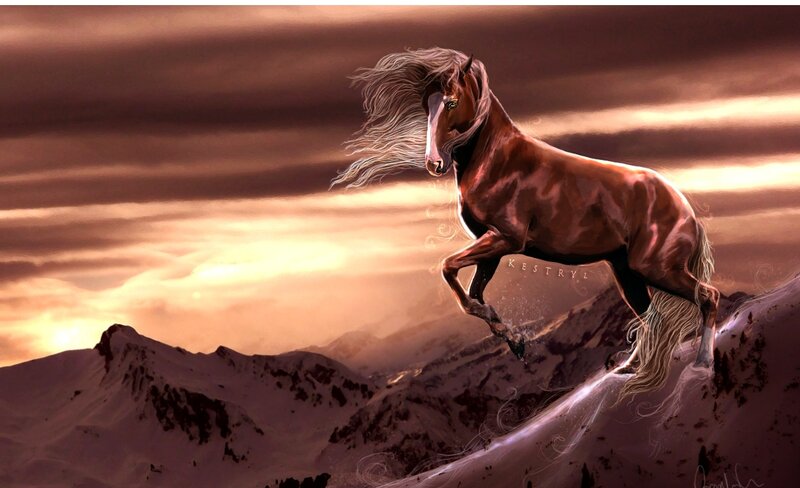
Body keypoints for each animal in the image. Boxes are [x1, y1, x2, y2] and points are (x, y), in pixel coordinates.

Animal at [332, 47, 719, 398]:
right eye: (427, 106)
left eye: (452, 103)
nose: (434, 163)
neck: (499, 161)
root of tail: (685, 210)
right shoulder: (491, 246)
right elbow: (472, 294)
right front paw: (515, 340)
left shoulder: (505, 239)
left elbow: (448, 269)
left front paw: (515, 339)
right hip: (626, 272)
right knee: (651, 316)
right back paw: (628, 368)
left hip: (655, 268)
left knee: (707, 296)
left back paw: (702, 363)